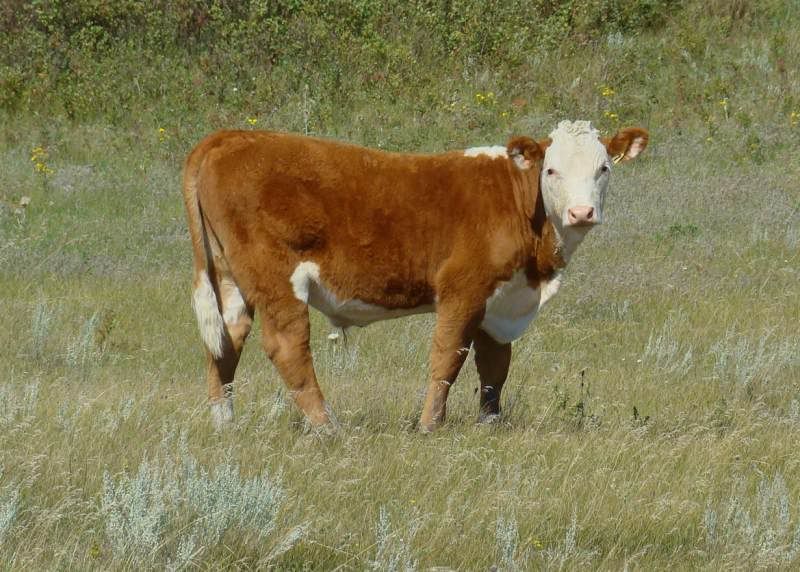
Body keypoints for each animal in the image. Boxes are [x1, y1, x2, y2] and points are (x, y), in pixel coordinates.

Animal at [182, 120, 648, 432]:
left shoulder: (502, 300)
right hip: (276, 278)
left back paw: (225, 422)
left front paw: (490, 424)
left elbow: (495, 366)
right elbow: (447, 358)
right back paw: (327, 427)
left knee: (225, 342)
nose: (582, 212)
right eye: (551, 170)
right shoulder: (463, 289)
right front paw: (429, 426)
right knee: (287, 346)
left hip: (230, 279)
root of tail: (231, 136)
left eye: (604, 168)